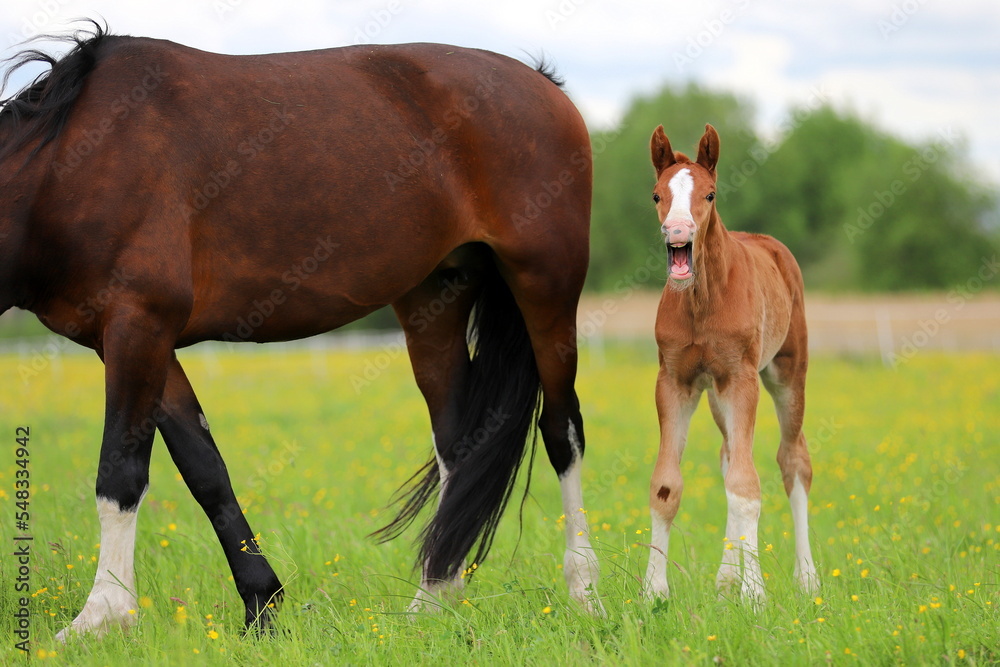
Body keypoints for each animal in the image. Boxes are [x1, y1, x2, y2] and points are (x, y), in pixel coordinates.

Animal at [0, 22, 602, 639]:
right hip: (435, 300)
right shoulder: (140, 343)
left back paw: (584, 595)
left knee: (562, 431)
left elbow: (119, 472)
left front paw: (101, 618)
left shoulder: (137, 325)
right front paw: (261, 605)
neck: (68, 166)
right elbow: (204, 469)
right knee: (458, 448)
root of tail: (543, 84)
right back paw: (430, 602)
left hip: (546, 288)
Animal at [643, 124, 818, 602]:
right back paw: (725, 579)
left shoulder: (742, 380)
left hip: (786, 374)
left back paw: (807, 578)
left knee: (793, 461)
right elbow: (667, 486)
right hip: (717, 393)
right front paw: (653, 592)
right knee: (727, 456)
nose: (677, 230)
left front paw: (754, 595)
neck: (702, 302)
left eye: (710, 194)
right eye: (657, 194)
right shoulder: (674, 382)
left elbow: (746, 487)